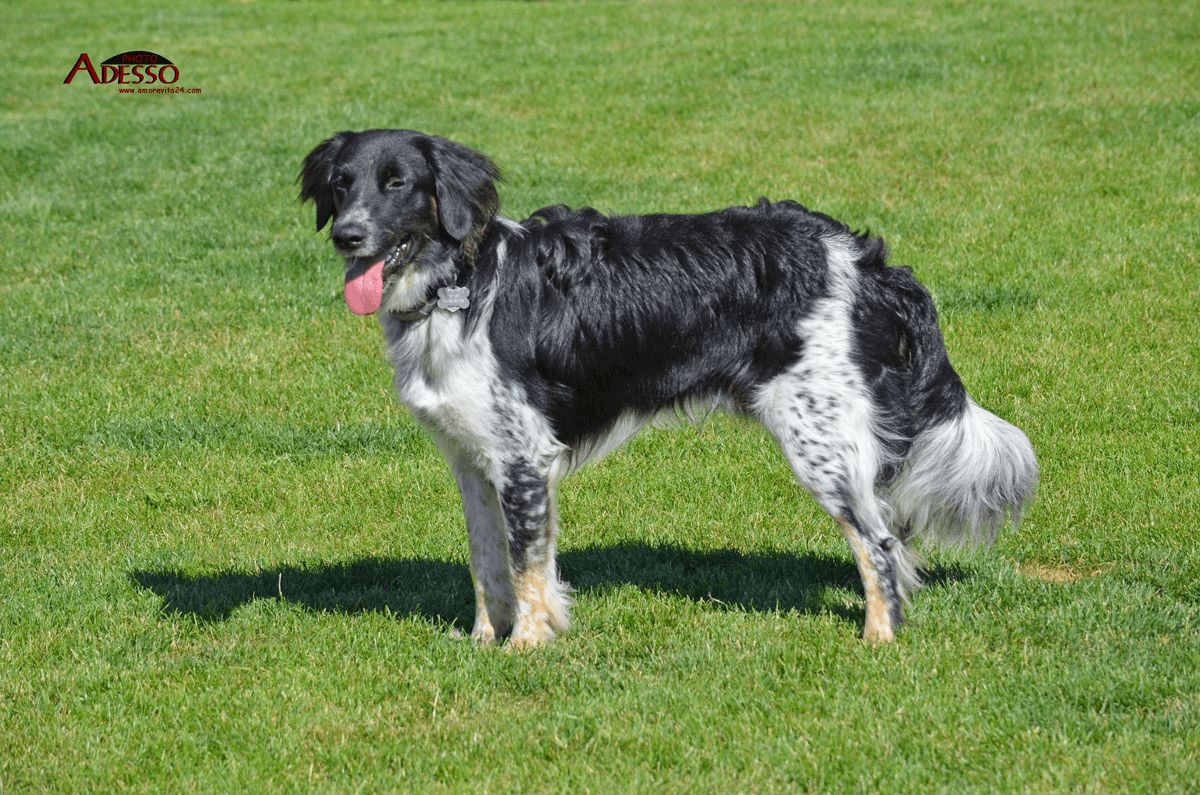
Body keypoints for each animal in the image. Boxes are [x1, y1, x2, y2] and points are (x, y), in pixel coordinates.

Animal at [299, 129, 1038, 647]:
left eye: (398, 183)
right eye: (342, 184)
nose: (348, 235)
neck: (462, 283)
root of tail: (860, 256)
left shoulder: (524, 458)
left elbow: (527, 563)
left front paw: (527, 647)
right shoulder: (472, 460)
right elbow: (489, 561)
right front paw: (485, 641)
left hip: (819, 440)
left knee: (879, 544)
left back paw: (878, 640)